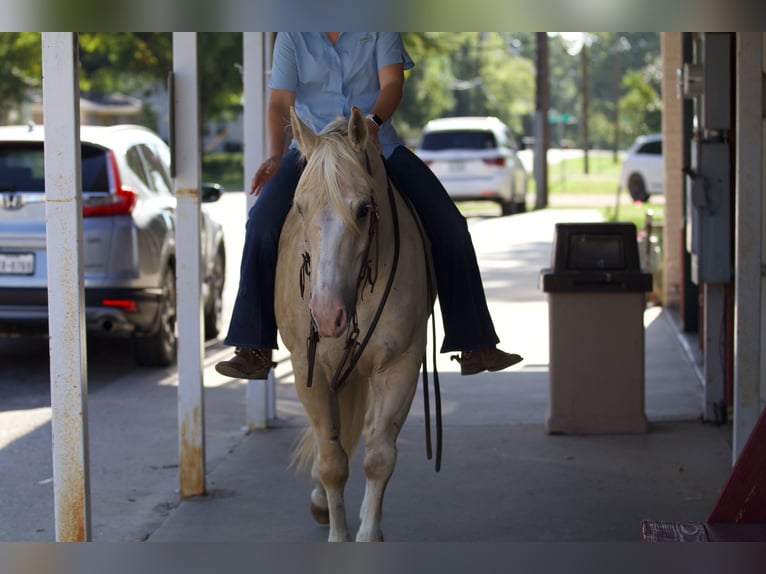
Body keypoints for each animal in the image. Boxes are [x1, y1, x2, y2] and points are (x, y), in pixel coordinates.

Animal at [276, 108, 436, 544]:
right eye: (299, 208)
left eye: (364, 208)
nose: (327, 314)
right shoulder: (308, 370)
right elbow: (332, 461)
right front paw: (338, 533)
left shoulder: (400, 366)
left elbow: (379, 456)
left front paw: (367, 534)